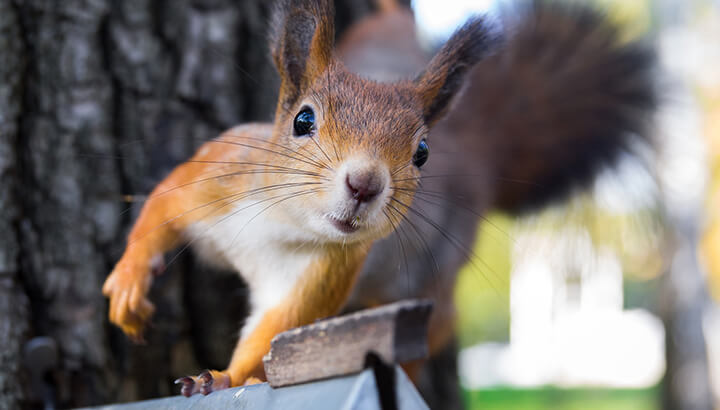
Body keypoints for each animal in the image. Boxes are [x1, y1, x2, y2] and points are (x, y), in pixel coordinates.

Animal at [101, 0, 496, 396]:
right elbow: (161, 206)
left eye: (422, 153)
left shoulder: (326, 271)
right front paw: (129, 280)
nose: (364, 184)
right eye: (302, 120)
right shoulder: (215, 177)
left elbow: (275, 328)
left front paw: (223, 377)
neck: (280, 218)